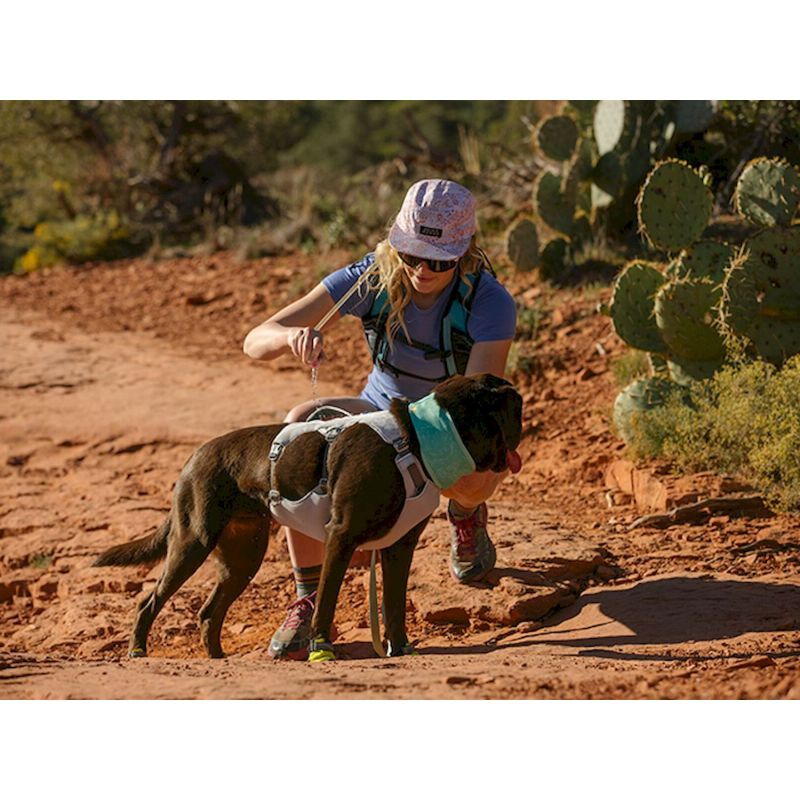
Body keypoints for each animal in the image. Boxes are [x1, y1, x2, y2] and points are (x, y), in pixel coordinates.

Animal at [94, 372, 520, 660]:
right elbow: (327, 599)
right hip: (192, 542)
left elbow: (395, 605)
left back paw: (217, 657)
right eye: (513, 410)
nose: (523, 409)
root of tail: (193, 457)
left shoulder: (400, 547)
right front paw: (321, 648)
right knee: (148, 601)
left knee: (208, 611)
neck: (412, 439)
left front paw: (401, 649)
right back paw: (137, 651)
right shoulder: (341, 536)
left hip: (243, 557)